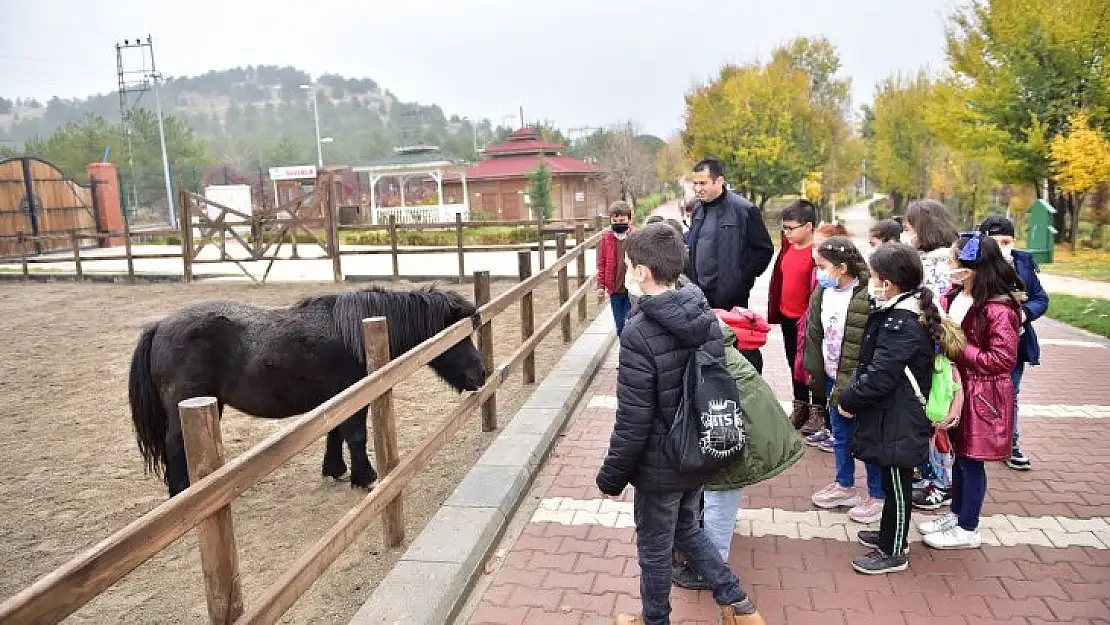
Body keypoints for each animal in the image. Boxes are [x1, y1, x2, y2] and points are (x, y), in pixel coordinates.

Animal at [127, 286, 483, 497]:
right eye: (459, 337)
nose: (481, 373)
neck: (356, 332)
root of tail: (159, 326)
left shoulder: (337, 399)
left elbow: (335, 433)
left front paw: (335, 470)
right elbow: (355, 435)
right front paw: (365, 476)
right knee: (175, 446)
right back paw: (181, 493)